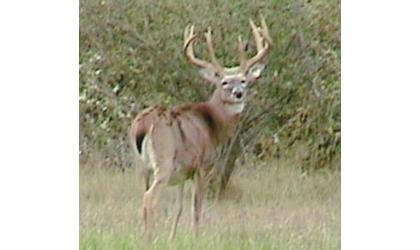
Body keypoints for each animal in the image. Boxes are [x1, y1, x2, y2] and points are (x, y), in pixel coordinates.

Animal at [129, 16, 272, 240]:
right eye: (224, 82)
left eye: (243, 80)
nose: (238, 93)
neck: (214, 123)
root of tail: (144, 124)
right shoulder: (204, 166)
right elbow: (197, 208)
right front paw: (196, 238)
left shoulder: (182, 173)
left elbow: (178, 209)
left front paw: (172, 239)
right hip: (163, 161)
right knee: (149, 198)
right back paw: (149, 238)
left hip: (140, 165)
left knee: (141, 197)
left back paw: (142, 235)